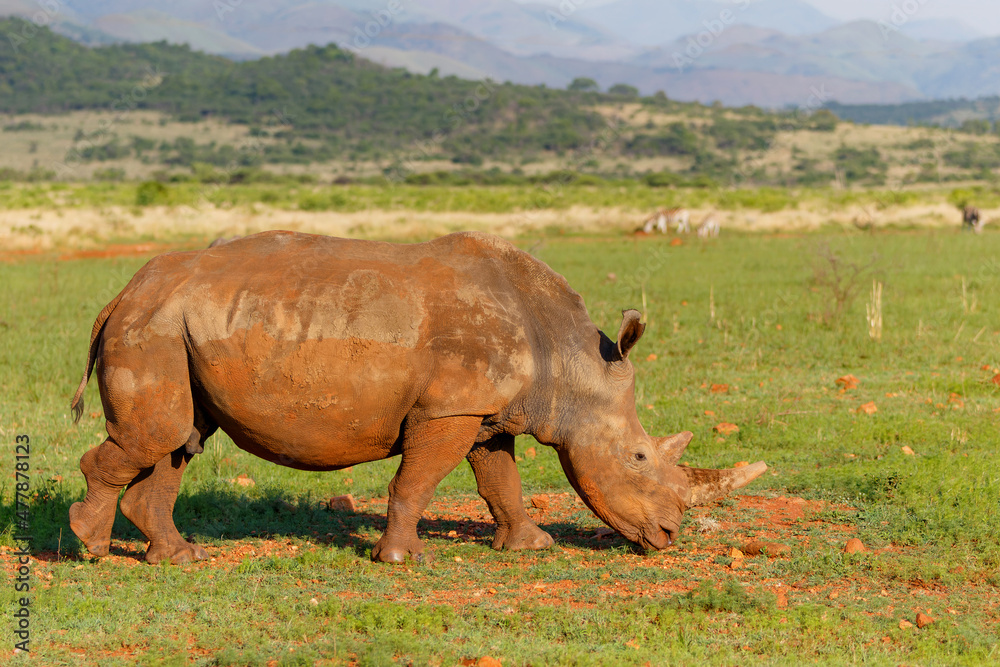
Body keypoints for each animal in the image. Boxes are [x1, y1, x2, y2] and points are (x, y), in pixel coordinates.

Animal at [69, 231, 766, 564]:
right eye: (639, 459)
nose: (669, 535)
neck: (569, 364)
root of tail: (122, 293)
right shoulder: (449, 409)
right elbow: (419, 480)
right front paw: (401, 558)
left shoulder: (485, 410)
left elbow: (500, 480)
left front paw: (530, 547)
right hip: (154, 327)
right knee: (157, 437)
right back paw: (92, 547)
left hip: (172, 325)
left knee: (176, 441)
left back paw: (178, 558)